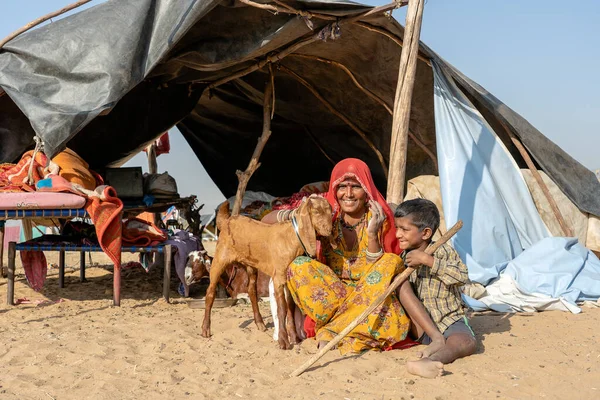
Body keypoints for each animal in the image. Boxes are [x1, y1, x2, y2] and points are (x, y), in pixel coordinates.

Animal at [202, 195, 332, 348]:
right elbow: (281, 309)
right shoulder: (278, 278)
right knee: (210, 293)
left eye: (330, 212)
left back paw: (260, 323)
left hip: (250, 266)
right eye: (316, 212)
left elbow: (290, 308)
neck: (291, 238)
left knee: (251, 291)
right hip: (219, 259)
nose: (329, 230)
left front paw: (294, 338)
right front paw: (283, 341)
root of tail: (227, 221)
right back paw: (205, 329)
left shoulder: (286, 278)